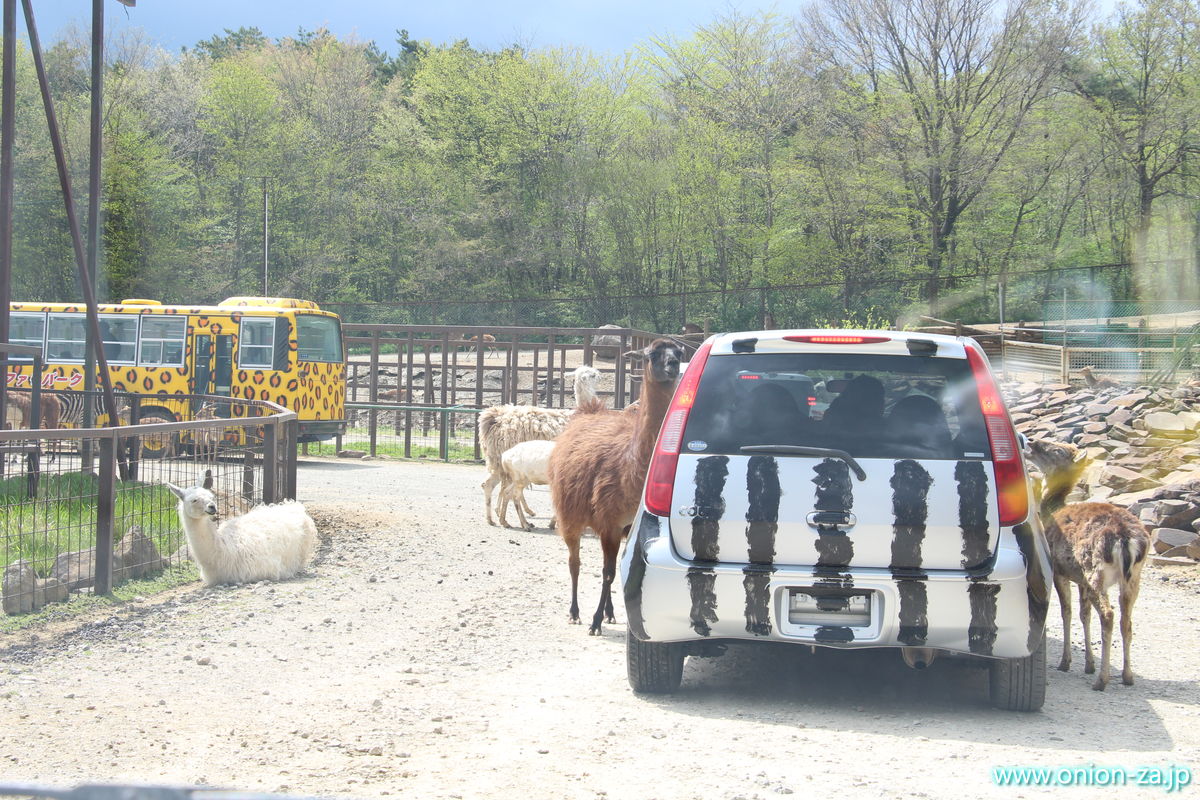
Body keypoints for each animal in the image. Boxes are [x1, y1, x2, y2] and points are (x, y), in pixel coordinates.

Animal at [549, 340, 681, 633]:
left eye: (679, 352)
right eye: (652, 354)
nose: (673, 365)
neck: (629, 468)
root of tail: (588, 410)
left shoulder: (627, 527)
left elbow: (619, 570)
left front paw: (607, 615)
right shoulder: (609, 522)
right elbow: (607, 572)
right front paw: (594, 621)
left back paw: (609, 612)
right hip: (570, 513)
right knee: (574, 562)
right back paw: (575, 612)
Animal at [1022, 434, 1152, 690]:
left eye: (1057, 451)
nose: (1031, 442)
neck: (1051, 510)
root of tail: (1126, 539)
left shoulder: (1059, 571)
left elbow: (1068, 612)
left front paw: (1067, 662)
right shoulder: (1079, 579)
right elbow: (1084, 614)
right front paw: (1088, 664)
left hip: (1095, 569)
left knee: (1108, 614)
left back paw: (1102, 680)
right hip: (1133, 578)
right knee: (1126, 620)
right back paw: (1127, 676)